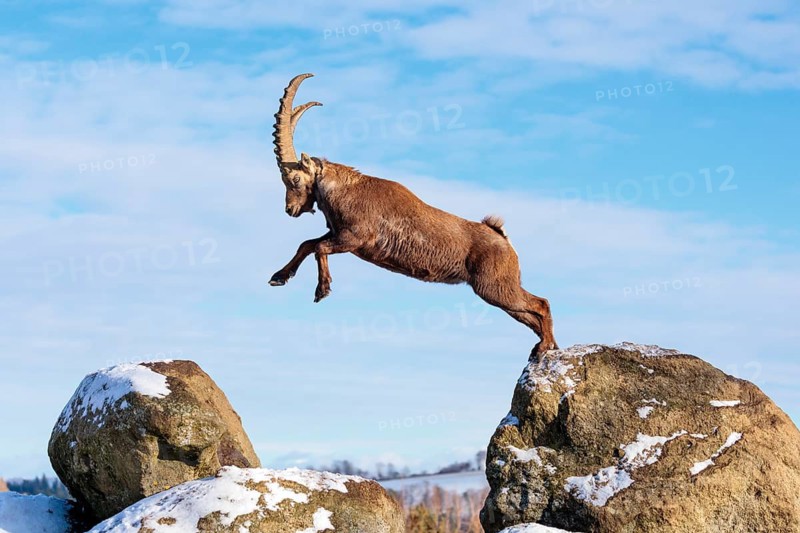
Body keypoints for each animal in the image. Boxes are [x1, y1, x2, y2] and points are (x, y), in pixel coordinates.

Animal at [269, 74, 558, 356]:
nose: (290, 210)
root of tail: (503, 240)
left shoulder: (355, 238)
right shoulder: (338, 233)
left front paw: (323, 289)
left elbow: (319, 248)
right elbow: (307, 244)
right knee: (531, 314)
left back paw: (546, 347)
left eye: (295, 178)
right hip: (498, 291)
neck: (343, 190)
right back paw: (544, 346)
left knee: (541, 303)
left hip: (494, 286)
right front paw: (279, 277)